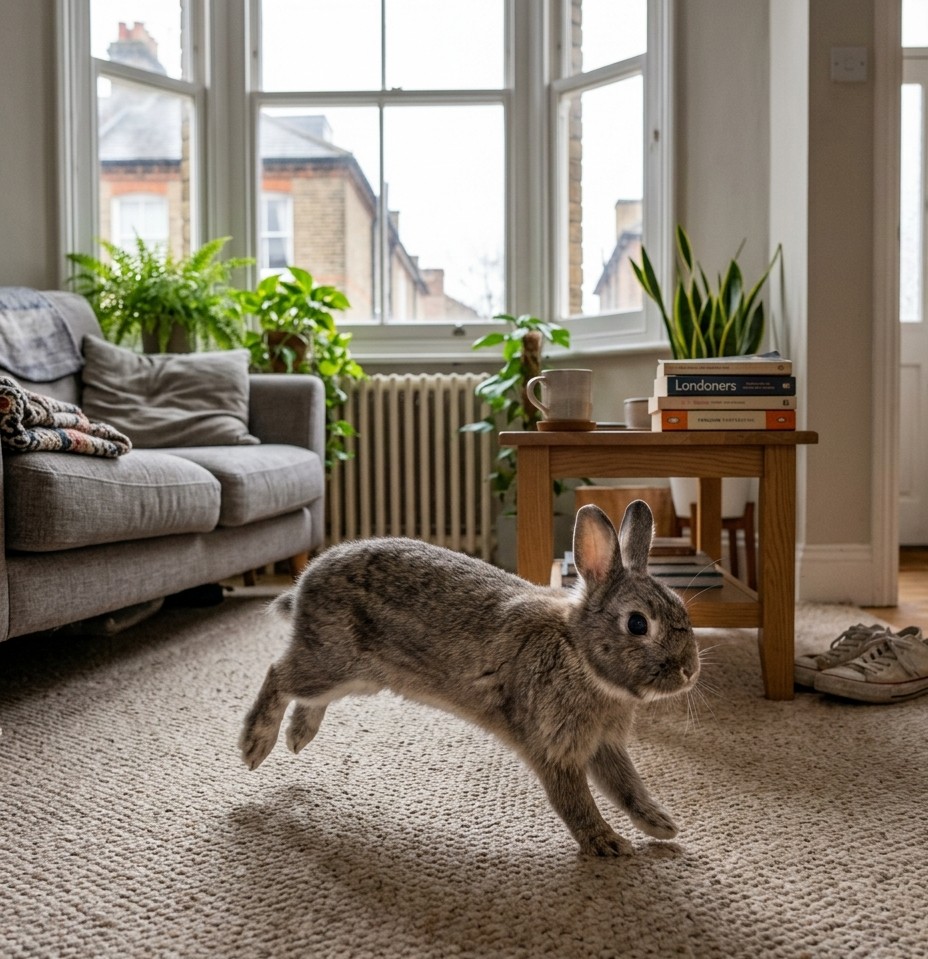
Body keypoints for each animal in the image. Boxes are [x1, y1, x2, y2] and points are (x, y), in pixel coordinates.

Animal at [239, 500, 700, 856]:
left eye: (682, 609)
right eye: (638, 624)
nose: (689, 671)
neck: (579, 651)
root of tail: (306, 582)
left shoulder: (603, 745)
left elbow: (627, 786)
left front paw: (661, 824)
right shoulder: (555, 747)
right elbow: (575, 801)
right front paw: (607, 843)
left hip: (355, 676)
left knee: (304, 691)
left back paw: (298, 736)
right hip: (333, 662)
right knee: (279, 675)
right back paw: (255, 745)